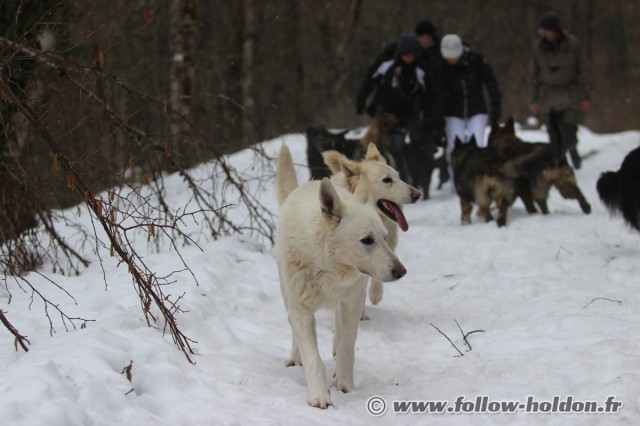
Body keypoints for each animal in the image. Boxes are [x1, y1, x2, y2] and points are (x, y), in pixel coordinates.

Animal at [276, 146, 404, 410]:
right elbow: (313, 357)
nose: (401, 271)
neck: (328, 265)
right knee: (295, 333)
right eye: (367, 240)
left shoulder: (352, 302)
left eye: (384, 238)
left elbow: (347, 347)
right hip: (287, 296)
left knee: (339, 332)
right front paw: (319, 397)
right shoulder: (301, 311)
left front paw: (345, 385)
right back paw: (295, 357)